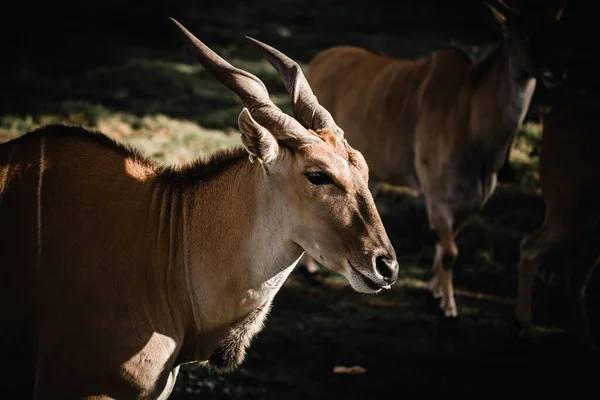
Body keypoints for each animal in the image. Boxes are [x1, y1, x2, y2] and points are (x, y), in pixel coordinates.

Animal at [302, 0, 564, 318]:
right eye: (524, 34)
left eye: (555, 31)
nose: (556, 71)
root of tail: (318, 61)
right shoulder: (436, 194)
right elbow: (450, 252)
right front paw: (448, 308)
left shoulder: (471, 202)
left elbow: (446, 246)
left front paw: (434, 292)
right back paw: (311, 271)